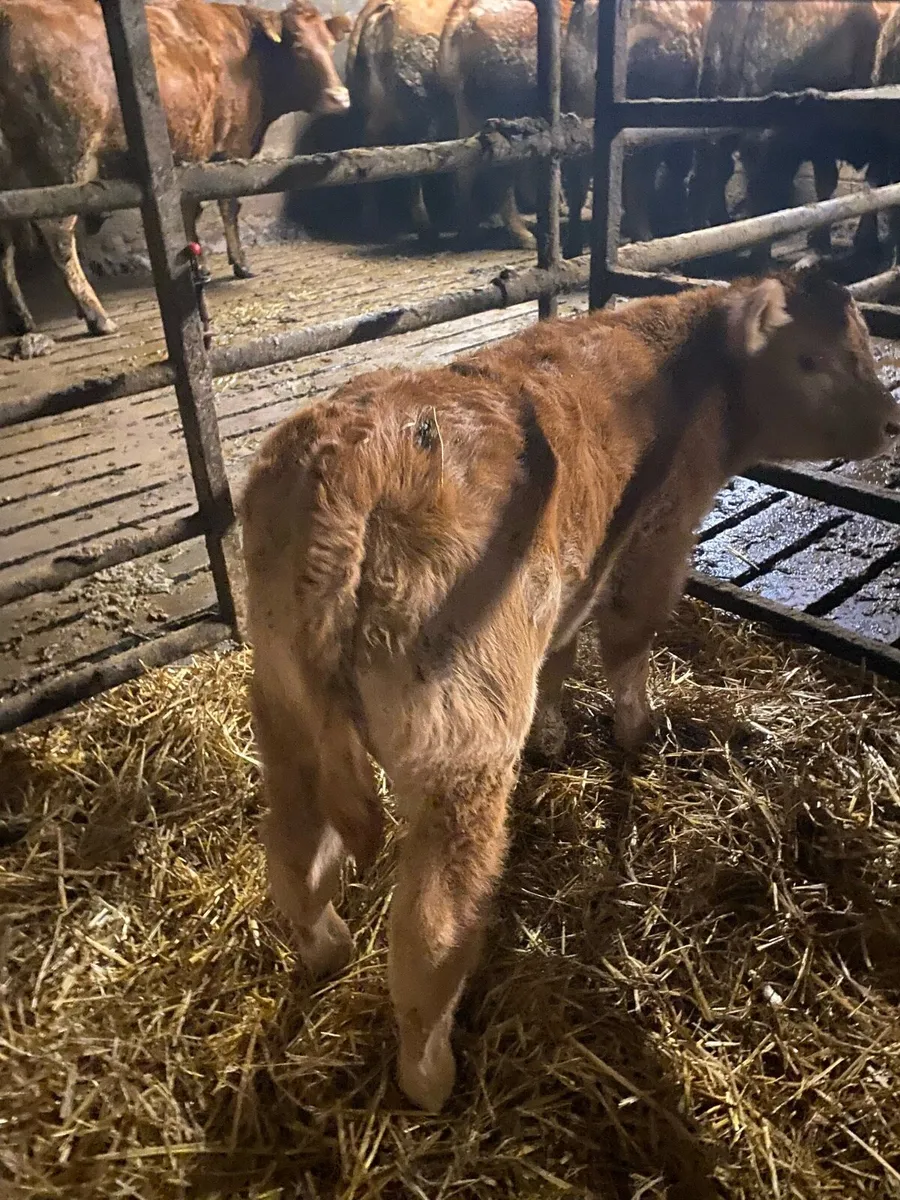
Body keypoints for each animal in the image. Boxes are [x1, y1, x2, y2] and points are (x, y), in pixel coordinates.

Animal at [0, 0, 351, 338]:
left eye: (330, 44)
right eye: (299, 47)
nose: (340, 97)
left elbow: (190, 212)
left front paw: (199, 264)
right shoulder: (231, 149)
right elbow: (227, 206)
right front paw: (238, 264)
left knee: (5, 242)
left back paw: (23, 319)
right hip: (65, 159)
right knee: (57, 235)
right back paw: (97, 316)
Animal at [240, 266, 900, 1113]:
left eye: (862, 343)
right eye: (813, 360)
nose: (888, 422)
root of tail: (355, 465)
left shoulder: (573, 576)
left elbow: (560, 651)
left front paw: (554, 731)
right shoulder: (658, 536)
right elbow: (626, 639)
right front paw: (636, 731)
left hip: (282, 705)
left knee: (294, 859)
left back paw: (326, 949)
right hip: (460, 746)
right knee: (430, 927)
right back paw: (431, 1074)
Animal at [436, 0, 574, 250]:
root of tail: (465, 14)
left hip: (470, 112)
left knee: (464, 169)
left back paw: (469, 232)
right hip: (509, 118)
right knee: (501, 177)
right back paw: (523, 236)